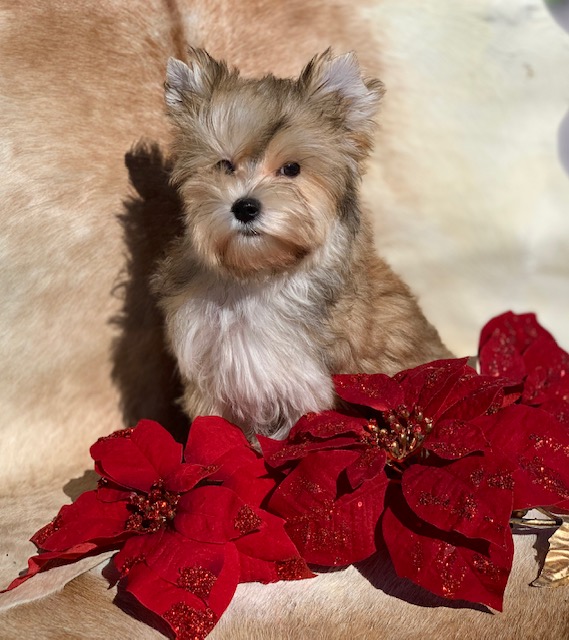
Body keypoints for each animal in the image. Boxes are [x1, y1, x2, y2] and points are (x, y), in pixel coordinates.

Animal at [153, 48, 450, 440]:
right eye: (225, 165)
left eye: (291, 169)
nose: (245, 207)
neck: (258, 276)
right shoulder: (209, 379)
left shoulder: (303, 389)